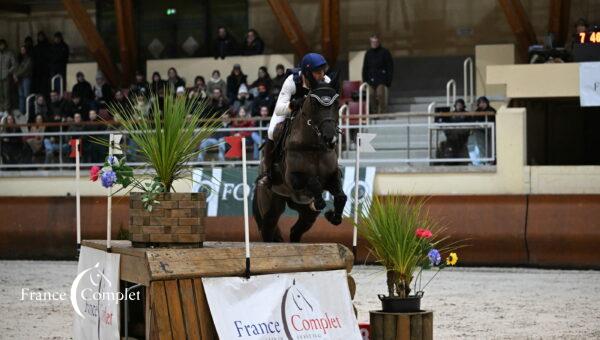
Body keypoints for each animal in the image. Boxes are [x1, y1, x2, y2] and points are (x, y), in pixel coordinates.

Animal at [252, 80, 346, 242]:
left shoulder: (332, 176)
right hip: (270, 206)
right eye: (314, 103)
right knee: (268, 228)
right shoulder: (293, 178)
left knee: (296, 230)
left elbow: (341, 196)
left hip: (306, 214)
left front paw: (332, 216)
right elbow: (313, 181)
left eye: (336, 103)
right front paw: (320, 202)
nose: (330, 139)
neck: (313, 147)